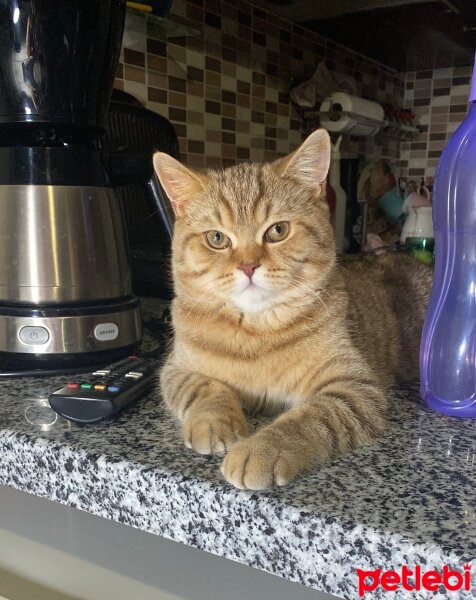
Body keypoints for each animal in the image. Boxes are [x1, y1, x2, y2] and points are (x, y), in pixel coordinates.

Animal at [153, 129, 432, 490]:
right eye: (217, 238)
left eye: (278, 230)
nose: (248, 266)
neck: (256, 331)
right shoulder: (176, 369)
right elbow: (206, 389)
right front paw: (215, 421)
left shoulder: (355, 388)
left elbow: (311, 418)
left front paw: (262, 449)